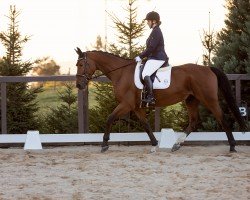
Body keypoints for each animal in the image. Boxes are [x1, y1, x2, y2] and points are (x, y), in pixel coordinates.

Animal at [74, 48, 246, 153]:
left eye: (81, 64)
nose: (78, 85)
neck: (121, 73)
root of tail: (208, 68)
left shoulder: (126, 104)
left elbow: (110, 118)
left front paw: (104, 145)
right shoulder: (136, 107)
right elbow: (146, 125)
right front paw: (155, 145)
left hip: (209, 99)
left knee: (222, 118)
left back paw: (232, 146)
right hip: (191, 100)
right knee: (194, 121)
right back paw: (177, 144)